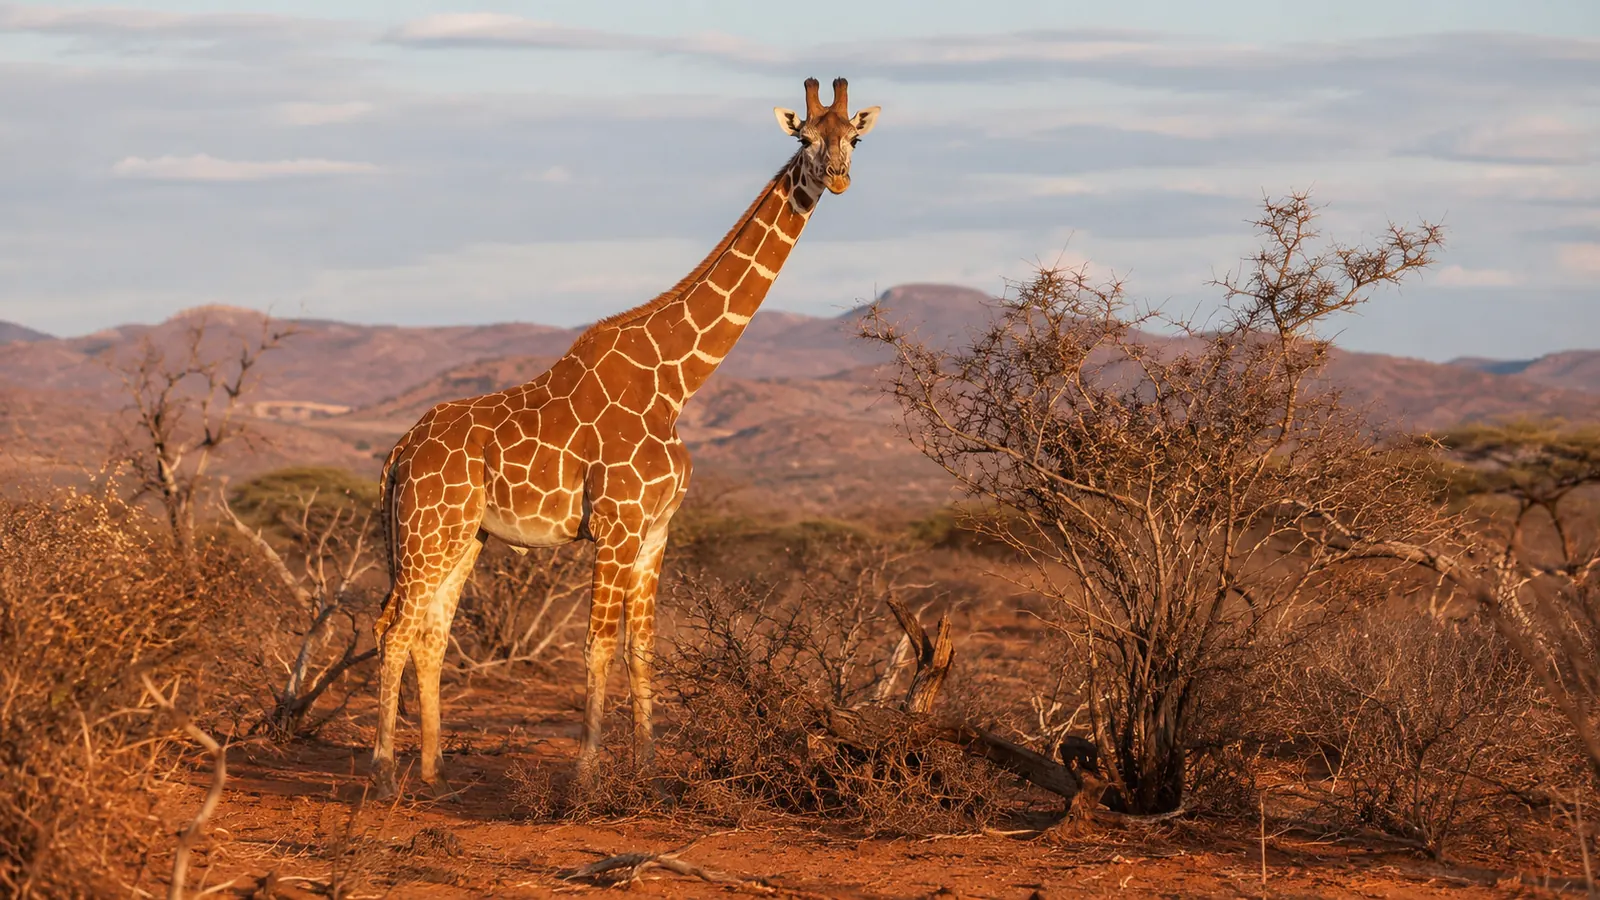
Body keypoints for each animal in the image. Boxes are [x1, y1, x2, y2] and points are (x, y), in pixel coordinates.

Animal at [370, 78, 879, 797]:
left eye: (854, 137)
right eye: (805, 138)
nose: (835, 177)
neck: (677, 381)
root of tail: (399, 451)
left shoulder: (656, 531)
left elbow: (642, 648)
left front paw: (651, 773)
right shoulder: (615, 526)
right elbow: (597, 646)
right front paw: (585, 777)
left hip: (462, 535)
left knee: (429, 631)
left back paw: (435, 771)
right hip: (427, 530)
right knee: (394, 627)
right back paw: (384, 769)